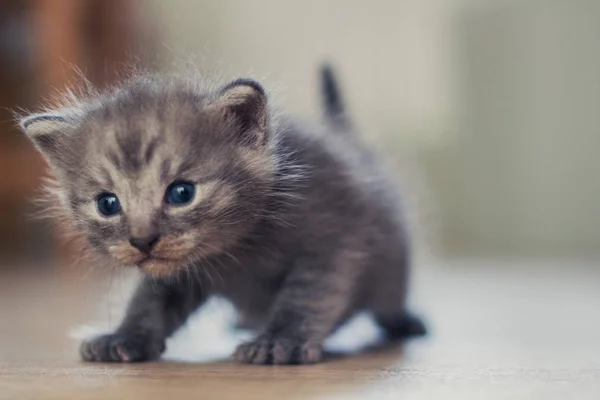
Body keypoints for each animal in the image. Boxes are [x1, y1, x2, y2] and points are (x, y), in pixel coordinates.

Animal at [16, 64, 424, 364]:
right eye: (107, 204)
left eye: (182, 193)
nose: (142, 241)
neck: (238, 249)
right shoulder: (179, 269)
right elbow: (150, 298)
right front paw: (126, 335)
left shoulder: (336, 238)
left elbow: (308, 294)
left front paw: (281, 339)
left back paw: (403, 321)